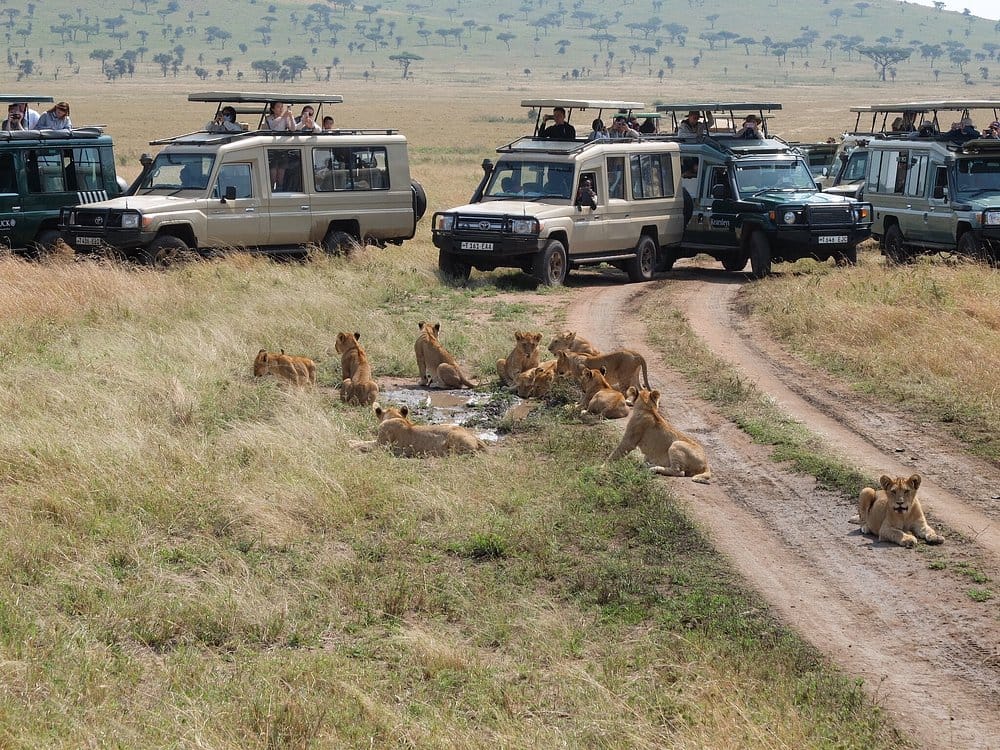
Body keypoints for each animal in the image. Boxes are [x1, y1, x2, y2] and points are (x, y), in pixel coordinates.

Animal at [352, 402, 486, 457]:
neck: (395, 417)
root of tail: (476, 438)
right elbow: (363, 442)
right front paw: (351, 441)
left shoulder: (381, 446)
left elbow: (363, 444)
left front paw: (350, 444)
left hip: (453, 436)